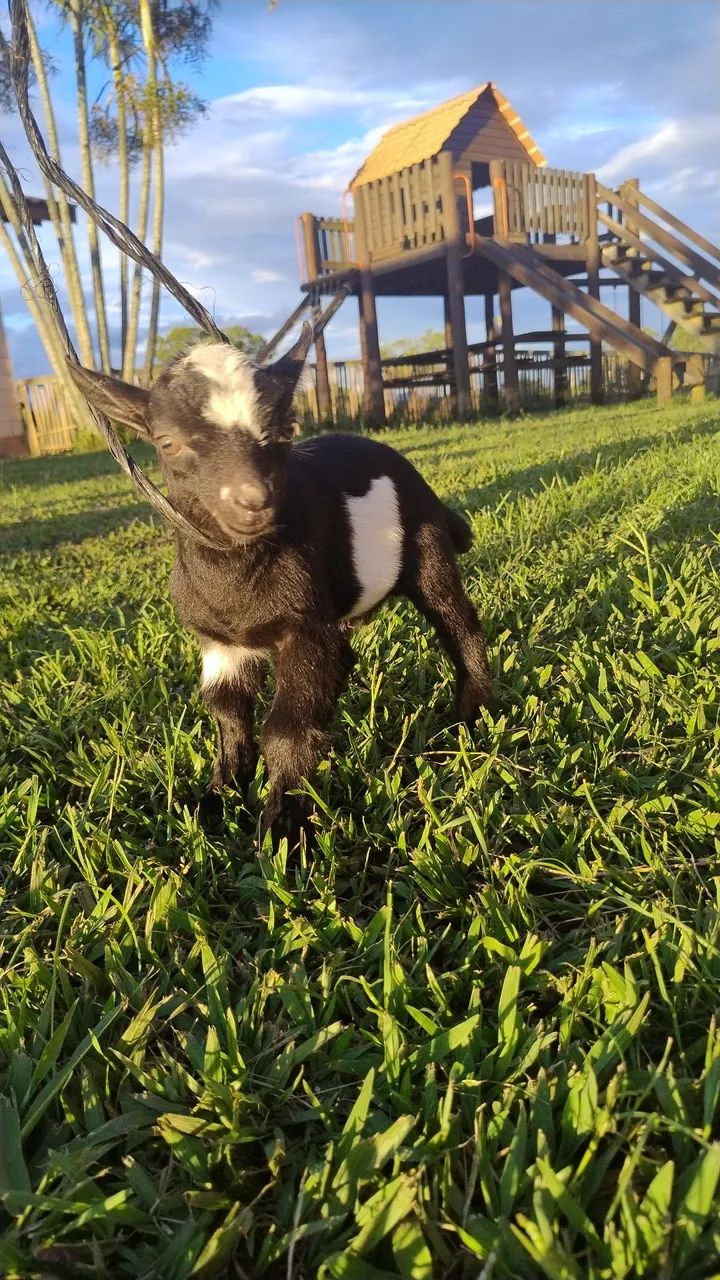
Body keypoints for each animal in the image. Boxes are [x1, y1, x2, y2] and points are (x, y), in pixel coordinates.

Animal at [68, 324, 492, 848]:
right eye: (167, 443)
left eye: (287, 431)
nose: (253, 500)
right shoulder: (222, 643)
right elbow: (227, 712)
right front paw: (215, 799)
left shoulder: (301, 626)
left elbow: (286, 727)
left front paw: (283, 830)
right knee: (344, 656)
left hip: (427, 543)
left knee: (457, 622)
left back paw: (472, 713)